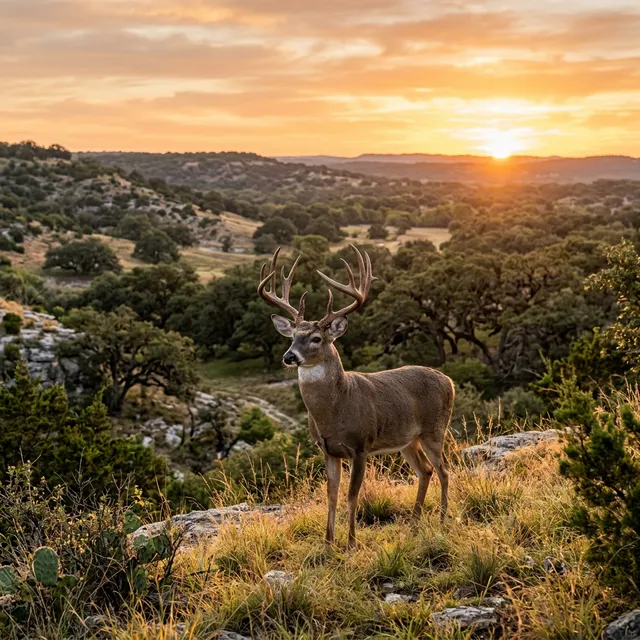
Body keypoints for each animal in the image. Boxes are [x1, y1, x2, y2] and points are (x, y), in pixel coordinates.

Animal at [257, 244, 455, 547]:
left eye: (316, 338)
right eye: (292, 337)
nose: (289, 356)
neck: (335, 411)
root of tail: (449, 380)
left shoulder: (361, 445)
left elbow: (352, 496)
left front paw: (351, 542)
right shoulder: (327, 449)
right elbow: (331, 496)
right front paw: (327, 544)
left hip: (435, 429)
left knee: (443, 469)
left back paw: (443, 519)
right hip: (407, 439)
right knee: (425, 470)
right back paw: (414, 524)